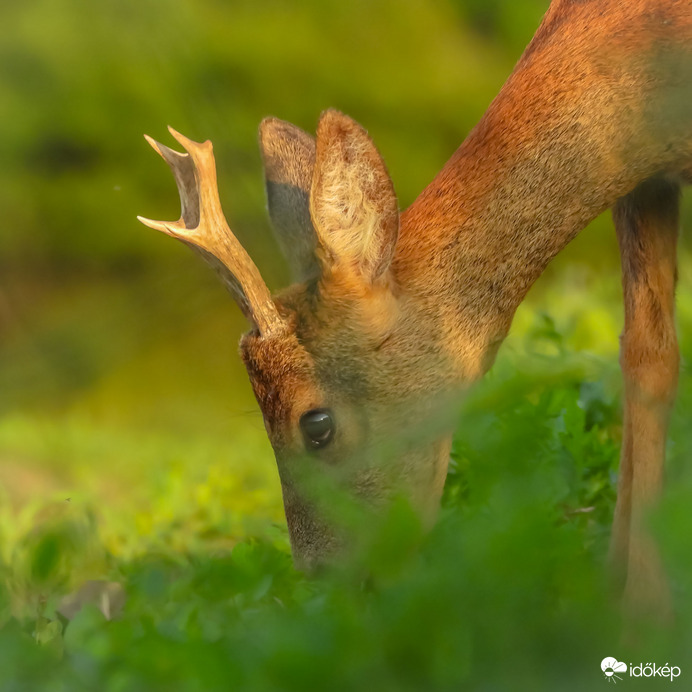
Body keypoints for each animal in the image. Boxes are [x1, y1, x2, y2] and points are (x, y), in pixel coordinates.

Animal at [139, 0, 692, 616]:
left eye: (317, 426)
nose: (329, 580)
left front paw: (644, 608)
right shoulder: (646, 183)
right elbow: (647, 354)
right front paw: (624, 596)